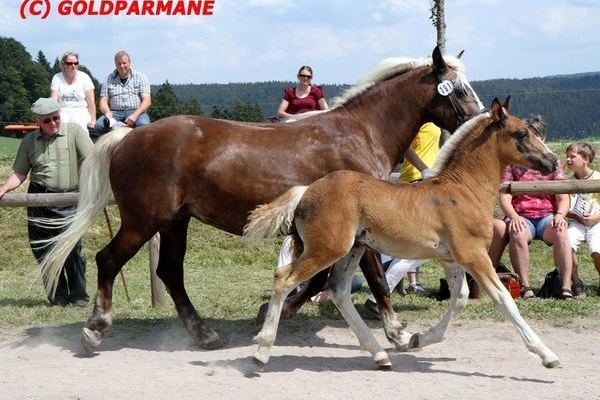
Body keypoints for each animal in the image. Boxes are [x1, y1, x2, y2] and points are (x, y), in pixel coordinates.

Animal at [39, 47, 482, 354]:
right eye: (459, 89)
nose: (483, 120)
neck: (360, 133)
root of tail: (129, 135)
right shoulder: (361, 228)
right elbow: (372, 279)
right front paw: (398, 332)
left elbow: (318, 278)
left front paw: (273, 312)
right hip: (143, 220)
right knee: (108, 260)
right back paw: (96, 329)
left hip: (175, 222)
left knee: (169, 272)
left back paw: (204, 334)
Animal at [245, 97, 564, 368]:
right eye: (521, 133)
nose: (552, 162)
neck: (462, 190)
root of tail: (306, 191)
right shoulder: (473, 254)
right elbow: (503, 299)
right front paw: (546, 354)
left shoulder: (452, 258)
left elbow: (460, 297)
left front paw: (417, 339)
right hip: (328, 248)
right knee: (284, 278)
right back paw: (262, 351)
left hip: (353, 249)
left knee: (338, 291)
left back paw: (379, 354)